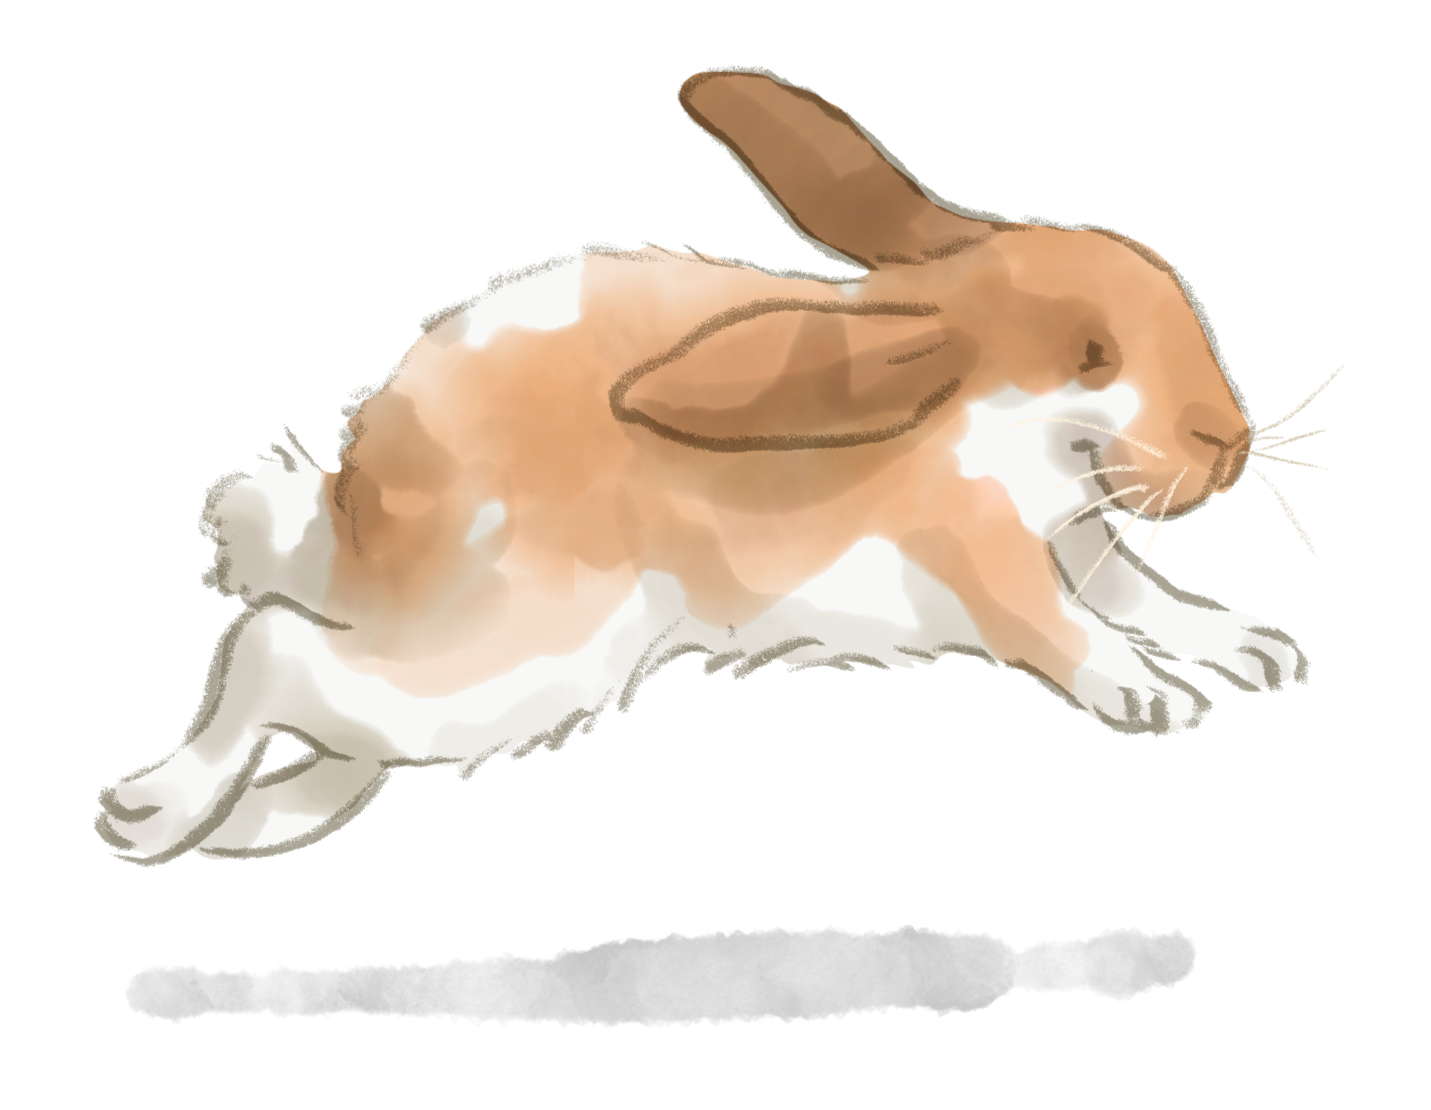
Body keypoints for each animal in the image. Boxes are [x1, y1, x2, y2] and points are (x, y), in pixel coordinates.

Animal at [95, 65, 1336, 866]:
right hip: (530, 656)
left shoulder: (1078, 538)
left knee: (324, 703)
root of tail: (366, 522)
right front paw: (1154, 701)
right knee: (271, 648)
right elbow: (1066, 629)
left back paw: (237, 829)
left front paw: (1260, 651)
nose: (1231, 440)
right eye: (1093, 354)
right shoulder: (989, 552)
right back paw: (150, 813)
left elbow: (1149, 594)